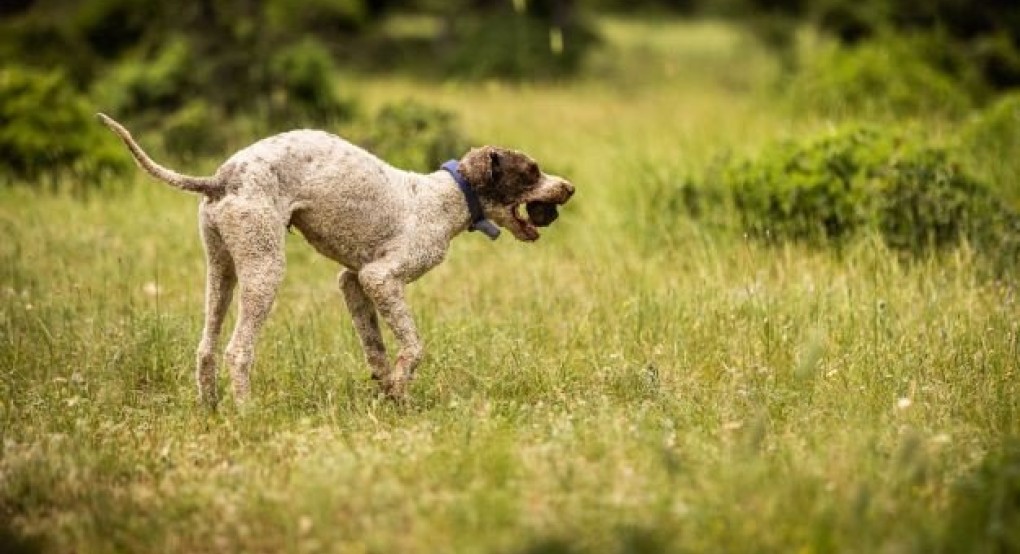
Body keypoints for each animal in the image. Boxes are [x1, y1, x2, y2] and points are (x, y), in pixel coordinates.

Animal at [99, 114, 579, 406]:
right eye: (531, 172)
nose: (571, 188)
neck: (447, 198)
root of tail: (220, 178)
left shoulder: (354, 281)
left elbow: (375, 347)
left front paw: (391, 394)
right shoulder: (382, 277)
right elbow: (413, 346)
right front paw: (401, 388)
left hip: (222, 272)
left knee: (205, 348)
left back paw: (211, 409)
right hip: (264, 269)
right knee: (238, 350)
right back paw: (246, 411)